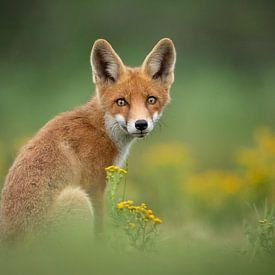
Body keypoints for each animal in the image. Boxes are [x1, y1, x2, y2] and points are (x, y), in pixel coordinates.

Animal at [0, 38, 177, 242]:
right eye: (121, 102)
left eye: (151, 100)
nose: (141, 124)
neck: (101, 128)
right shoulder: (94, 187)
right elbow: (99, 231)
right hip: (79, 200)